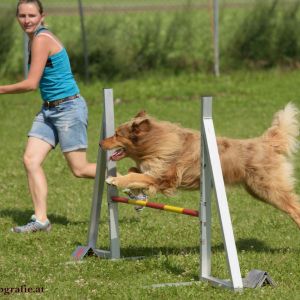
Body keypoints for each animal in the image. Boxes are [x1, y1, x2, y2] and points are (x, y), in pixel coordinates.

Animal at [100, 103, 300, 227]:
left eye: (117, 135)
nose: (100, 143)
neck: (156, 143)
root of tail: (266, 142)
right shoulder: (153, 172)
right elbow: (134, 172)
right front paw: (134, 191)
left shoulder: (164, 178)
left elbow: (135, 175)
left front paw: (114, 180)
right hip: (257, 190)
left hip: (269, 188)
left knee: (295, 206)